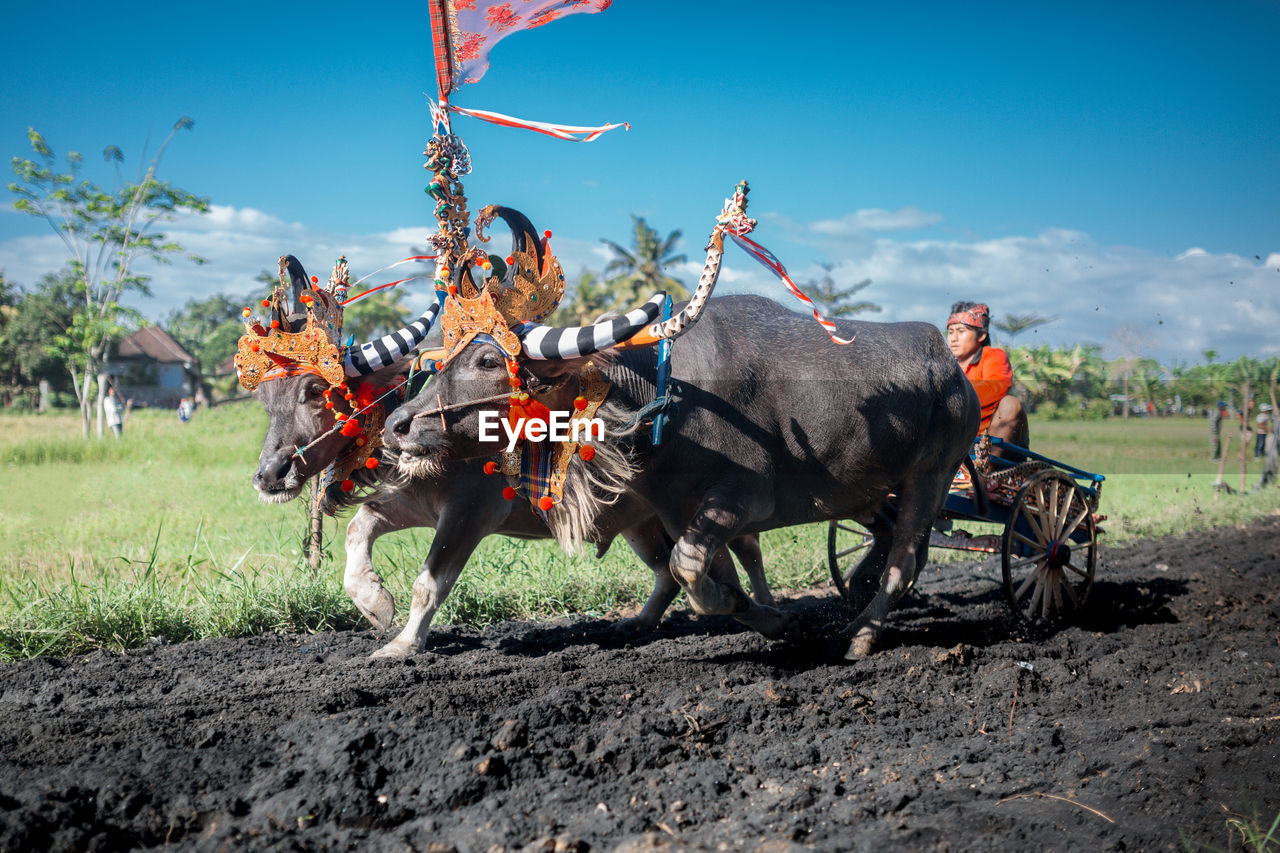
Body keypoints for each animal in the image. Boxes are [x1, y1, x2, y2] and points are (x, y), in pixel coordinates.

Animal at [384, 292, 972, 655]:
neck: (662, 404)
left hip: (933, 474)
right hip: (869, 490)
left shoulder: (740, 502)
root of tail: (949, 363)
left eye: (487, 362)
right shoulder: (672, 510)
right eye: (440, 361)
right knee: (893, 541)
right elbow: (710, 575)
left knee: (905, 558)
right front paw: (773, 619)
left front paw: (766, 615)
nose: (396, 425)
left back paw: (862, 632)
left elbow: (690, 570)